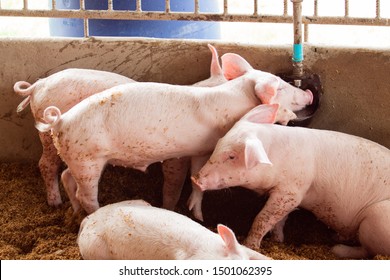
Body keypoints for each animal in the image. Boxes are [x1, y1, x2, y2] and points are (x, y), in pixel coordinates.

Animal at [35, 51, 312, 215]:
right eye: (282, 87)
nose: (308, 93)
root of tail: (60, 120)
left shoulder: (202, 149)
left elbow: (197, 176)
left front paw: (196, 213)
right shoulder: (184, 151)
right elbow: (176, 183)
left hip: (81, 160)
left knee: (68, 177)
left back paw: (73, 213)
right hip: (88, 160)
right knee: (83, 193)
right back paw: (91, 213)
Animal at [192, 104, 390, 260]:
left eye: (232, 156)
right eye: (218, 143)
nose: (196, 178)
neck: (274, 158)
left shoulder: (291, 191)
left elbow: (263, 218)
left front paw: (251, 245)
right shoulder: (288, 195)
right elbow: (280, 219)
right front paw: (278, 240)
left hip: (376, 218)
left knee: (368, 250)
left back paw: (337, 248)